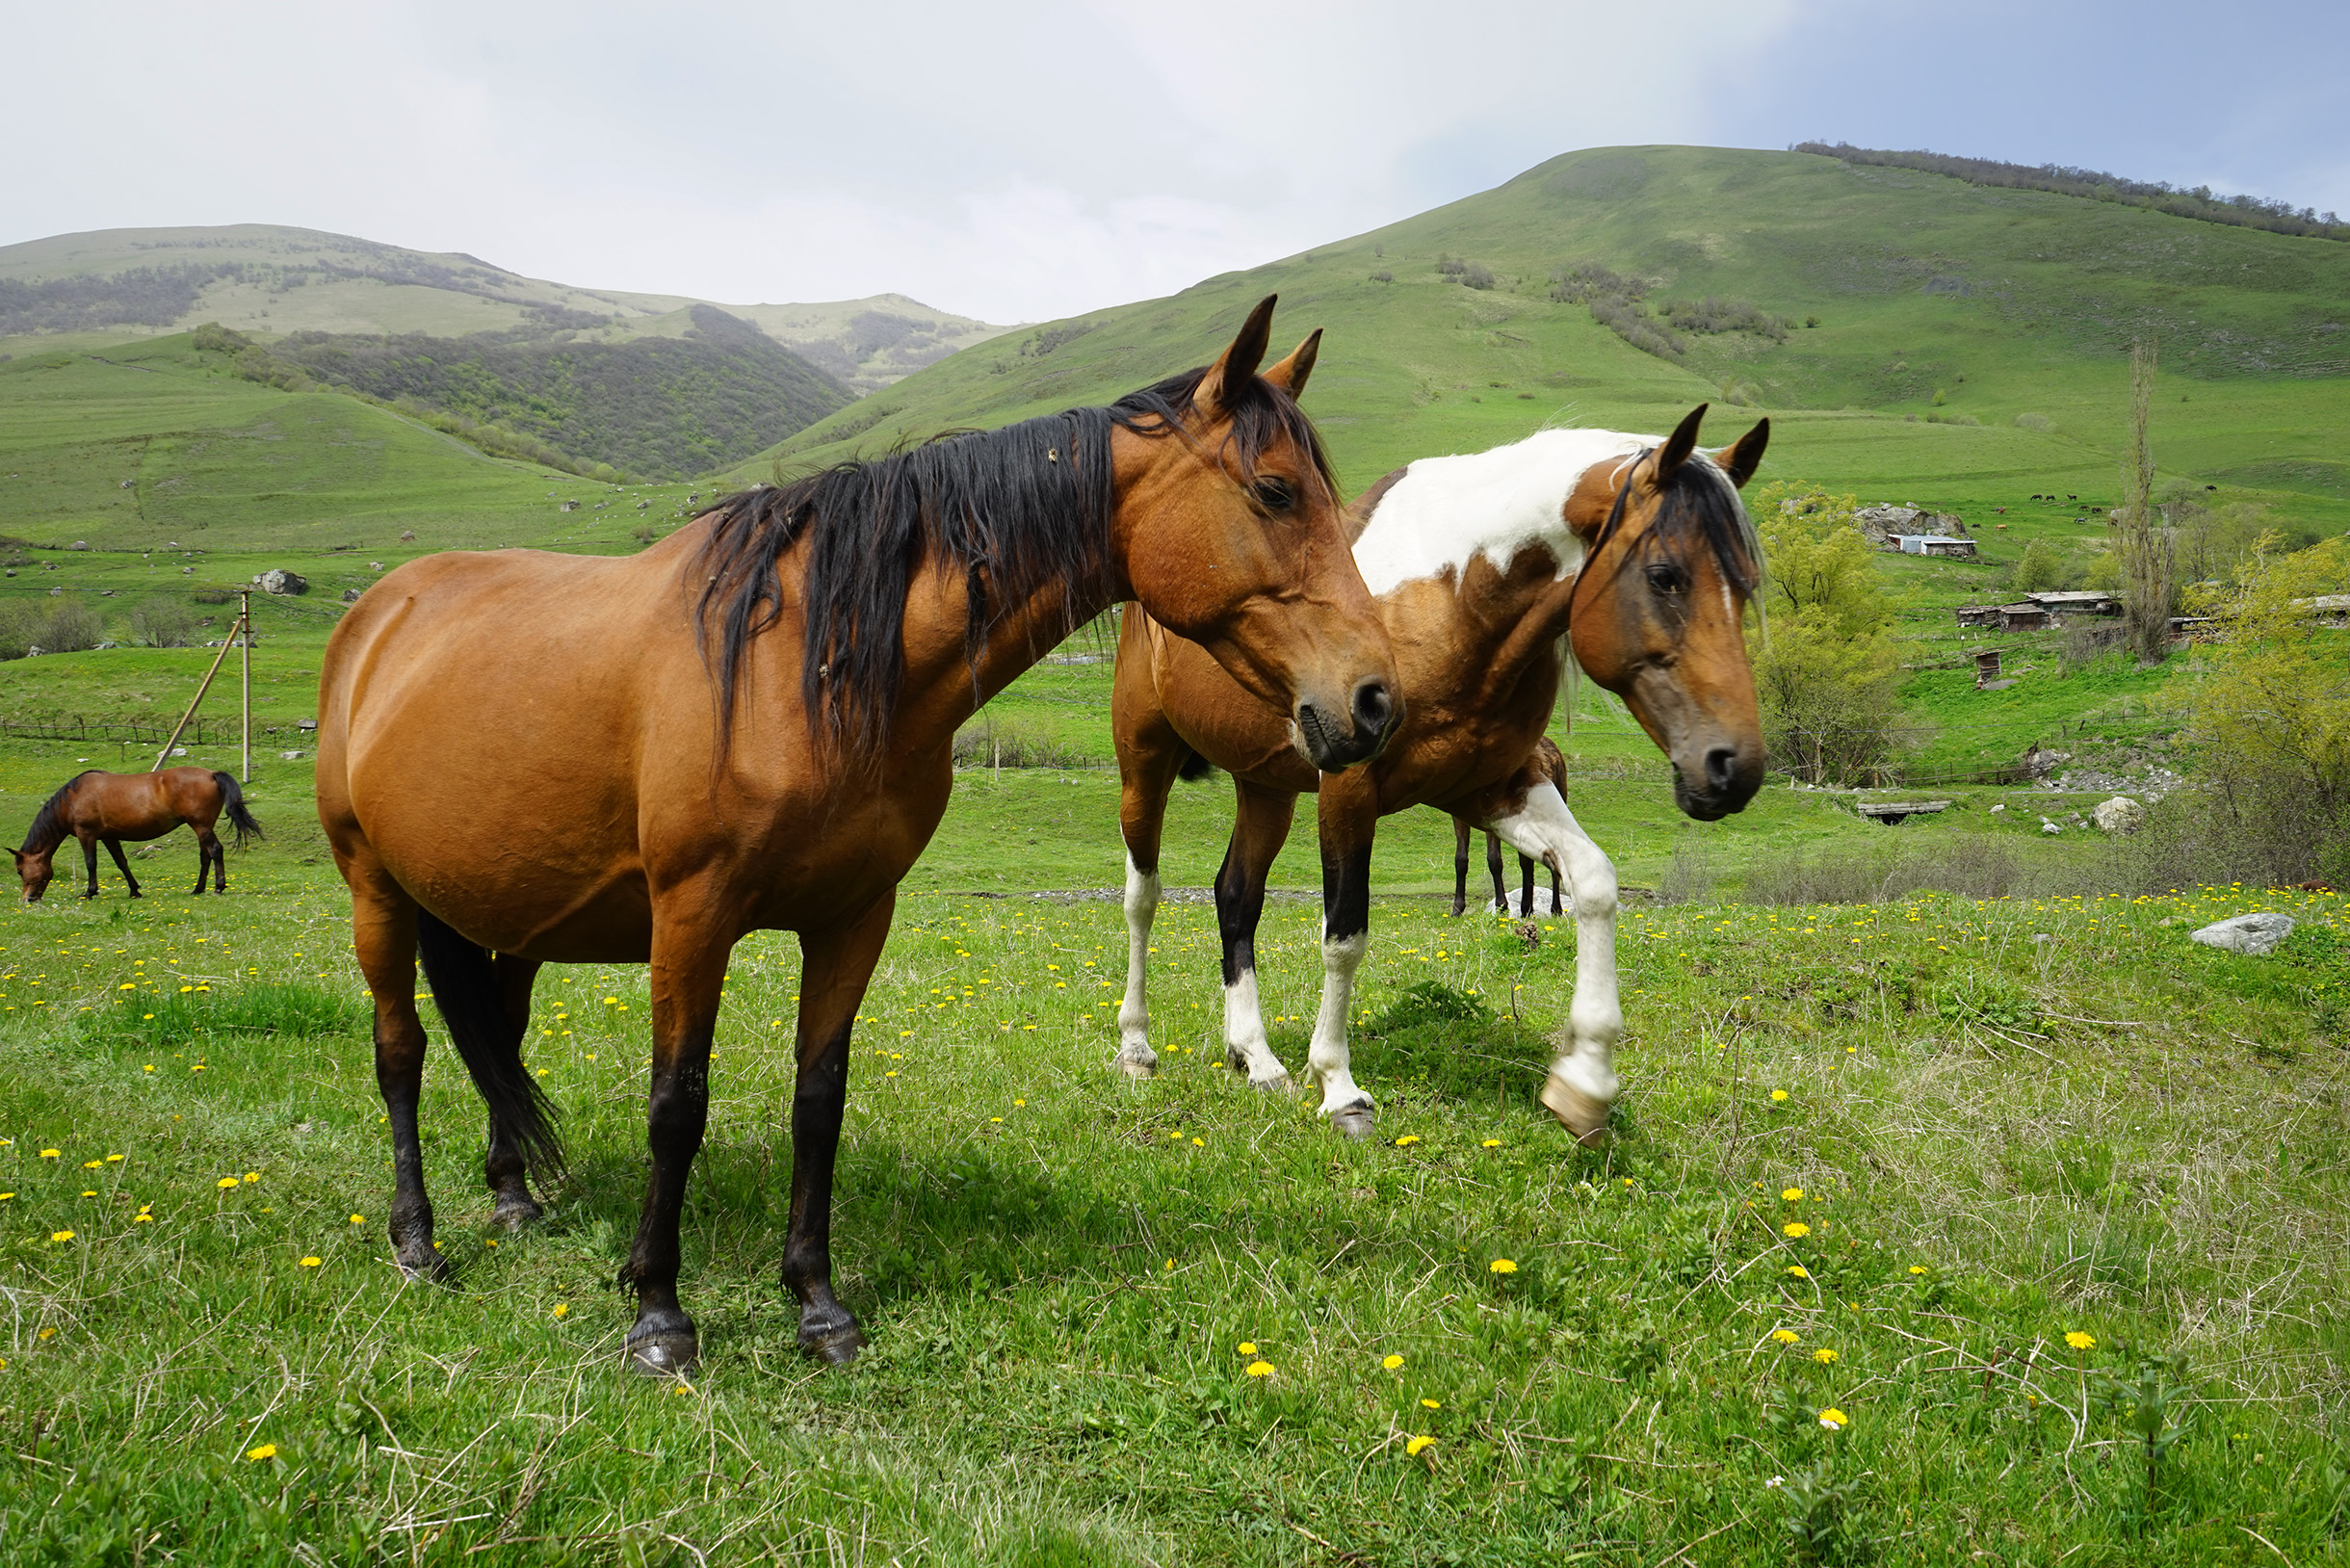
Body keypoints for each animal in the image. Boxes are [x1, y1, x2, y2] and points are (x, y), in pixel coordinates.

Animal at [14, 767, 262, 902]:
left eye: (19, 871)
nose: (28, 900)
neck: (72, 798)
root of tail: (212, 774)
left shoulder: (87, 834)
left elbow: (91, 863)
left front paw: (90, 892)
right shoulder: (109, 836)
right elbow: (121, 862)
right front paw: (134, 890)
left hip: (201, 826)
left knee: (215, 851)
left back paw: (219, 887)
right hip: (203, 827)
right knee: (205, 856)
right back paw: (197, 889)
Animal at [316, 297, 1400, 1374]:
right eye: (1274, 491)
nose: (1375, 699)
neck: (809, 665)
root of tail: (380, 611)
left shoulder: (853, 915)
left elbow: (819, 1100)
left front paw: (816, 1302)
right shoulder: (691, 917)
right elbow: (677, 1106)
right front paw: (659, 1313)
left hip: (514, 913)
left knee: (497, 1037)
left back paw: (511, 1195)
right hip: (376, 888)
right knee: (400, 1050)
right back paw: (417, 1240)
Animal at [1451, 736, 1568, 917]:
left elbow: (1494, 859)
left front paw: (1502, 905)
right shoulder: (1458, 817)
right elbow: (1461, 860)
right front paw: (1457, 908)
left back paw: (1555, 909)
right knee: (1528, 860)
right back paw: (1527, 908)